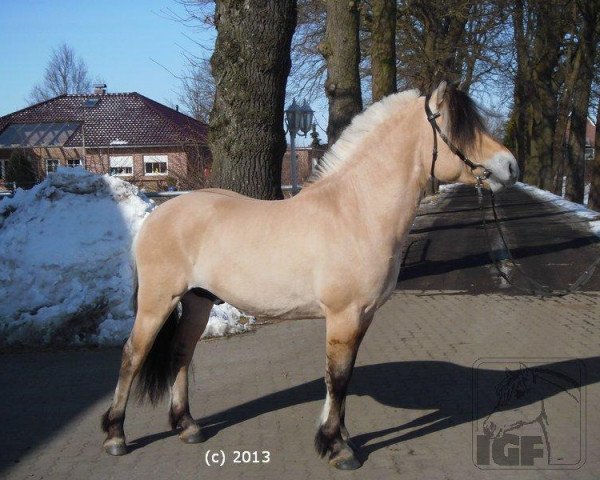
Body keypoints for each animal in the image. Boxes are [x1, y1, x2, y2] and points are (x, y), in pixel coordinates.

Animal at [101, 82, 516, 468]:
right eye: (459, 127)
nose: (510, 166)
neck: (356, 211)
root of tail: (158, 215)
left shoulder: (363, 316)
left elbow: (345, 377)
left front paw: (342, 438)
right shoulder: (344, 315)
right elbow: (337, 377)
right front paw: (337, 447)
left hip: (197, 300)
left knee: (181, 353)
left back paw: (187, 426)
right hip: (158, 302)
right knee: (132, 356)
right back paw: (115, 436)